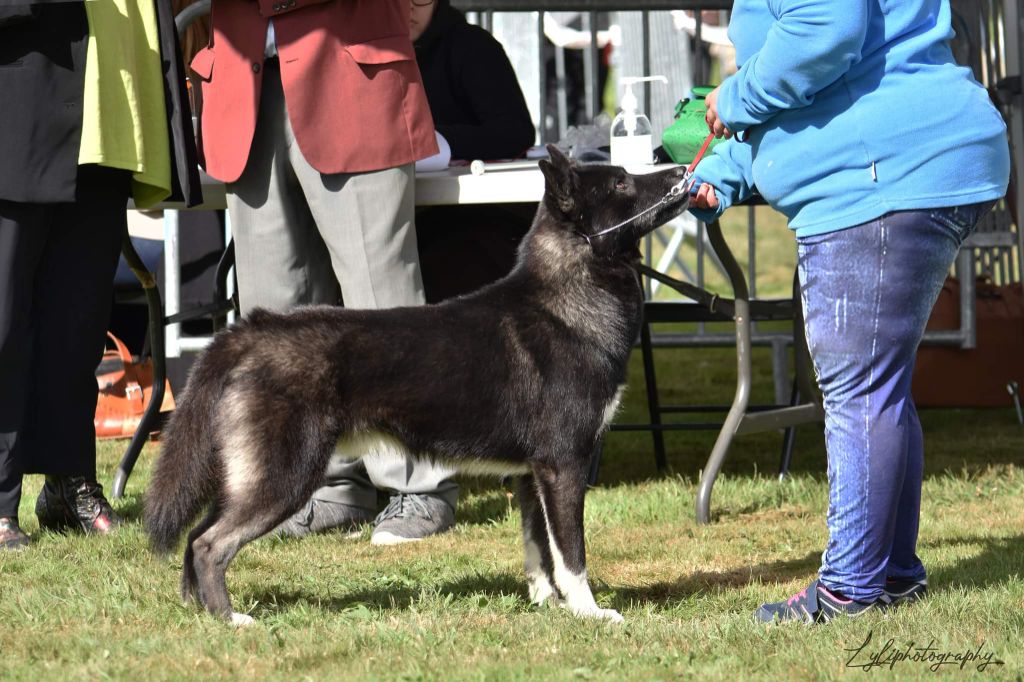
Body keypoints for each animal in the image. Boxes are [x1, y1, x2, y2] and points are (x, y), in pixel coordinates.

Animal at [144, 146, 692, 622]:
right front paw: (590, 613)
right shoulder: (563, 467)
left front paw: (548, 606)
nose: (683, 170)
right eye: (621, 182)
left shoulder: (531, 474)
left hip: (249, 474)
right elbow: (572, 554)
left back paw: (199, 612)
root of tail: (250, 331)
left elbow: (539, 551)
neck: (567, 300)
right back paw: (232, 619)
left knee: (196, 536)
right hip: (284, 476)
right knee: (210, 544)